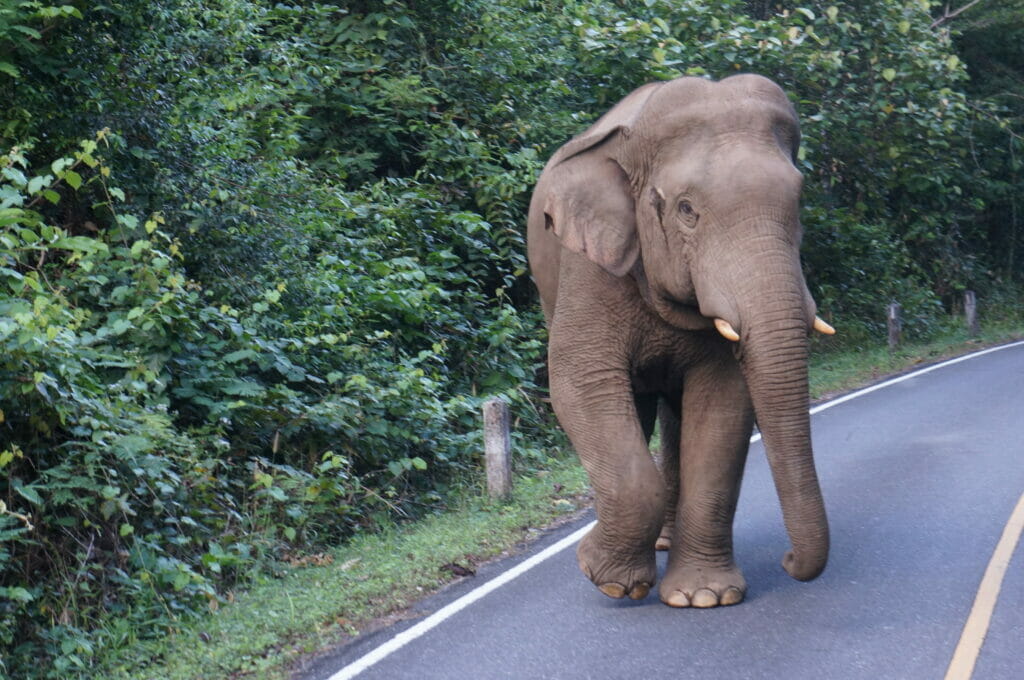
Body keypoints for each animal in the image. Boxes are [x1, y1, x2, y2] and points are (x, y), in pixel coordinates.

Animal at [528, 75, 831, 610]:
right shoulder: (588, 263)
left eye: (798, 204)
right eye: (687, 210)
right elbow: (578, 382)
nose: (789, 561)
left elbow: (724, 401)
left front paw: (704, 597)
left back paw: (667, 545)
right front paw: (606, 576)